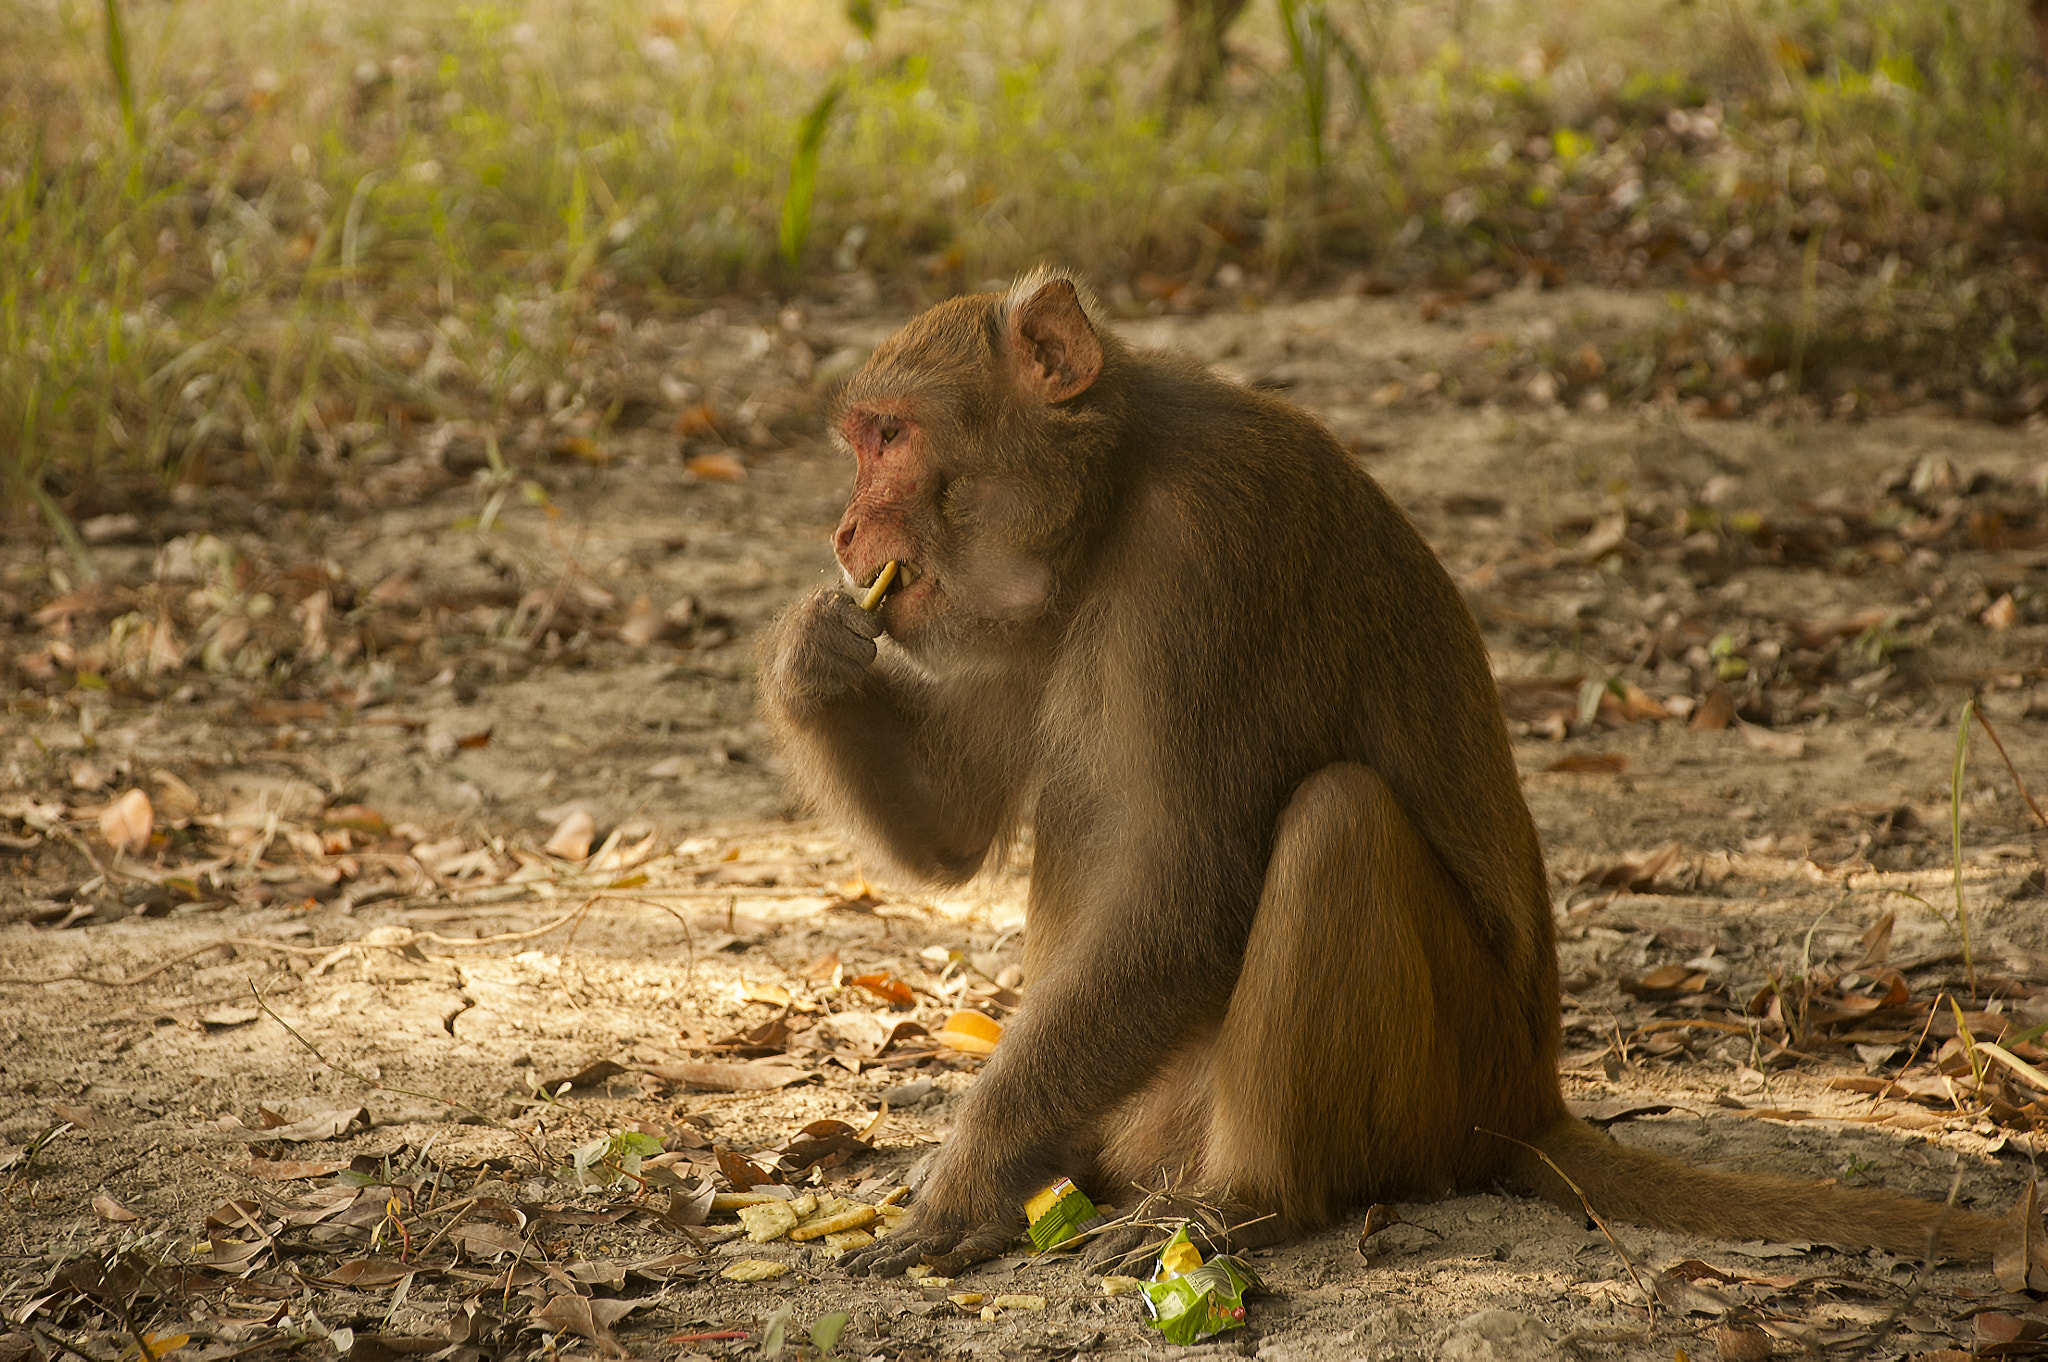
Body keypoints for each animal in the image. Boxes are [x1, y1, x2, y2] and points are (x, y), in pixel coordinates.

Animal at [757, 267, 2002, 1278]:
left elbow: (1187, 899)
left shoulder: (1210, 553)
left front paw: (964, 1183)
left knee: (1336, 822)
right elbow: (957, 831)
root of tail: (1525, 1104)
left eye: (888, 437)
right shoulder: (1009, 605)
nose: (842, 534)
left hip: (1436, 1091)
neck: (1106, 506)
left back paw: (1246, 1201)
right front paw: (809, 657)